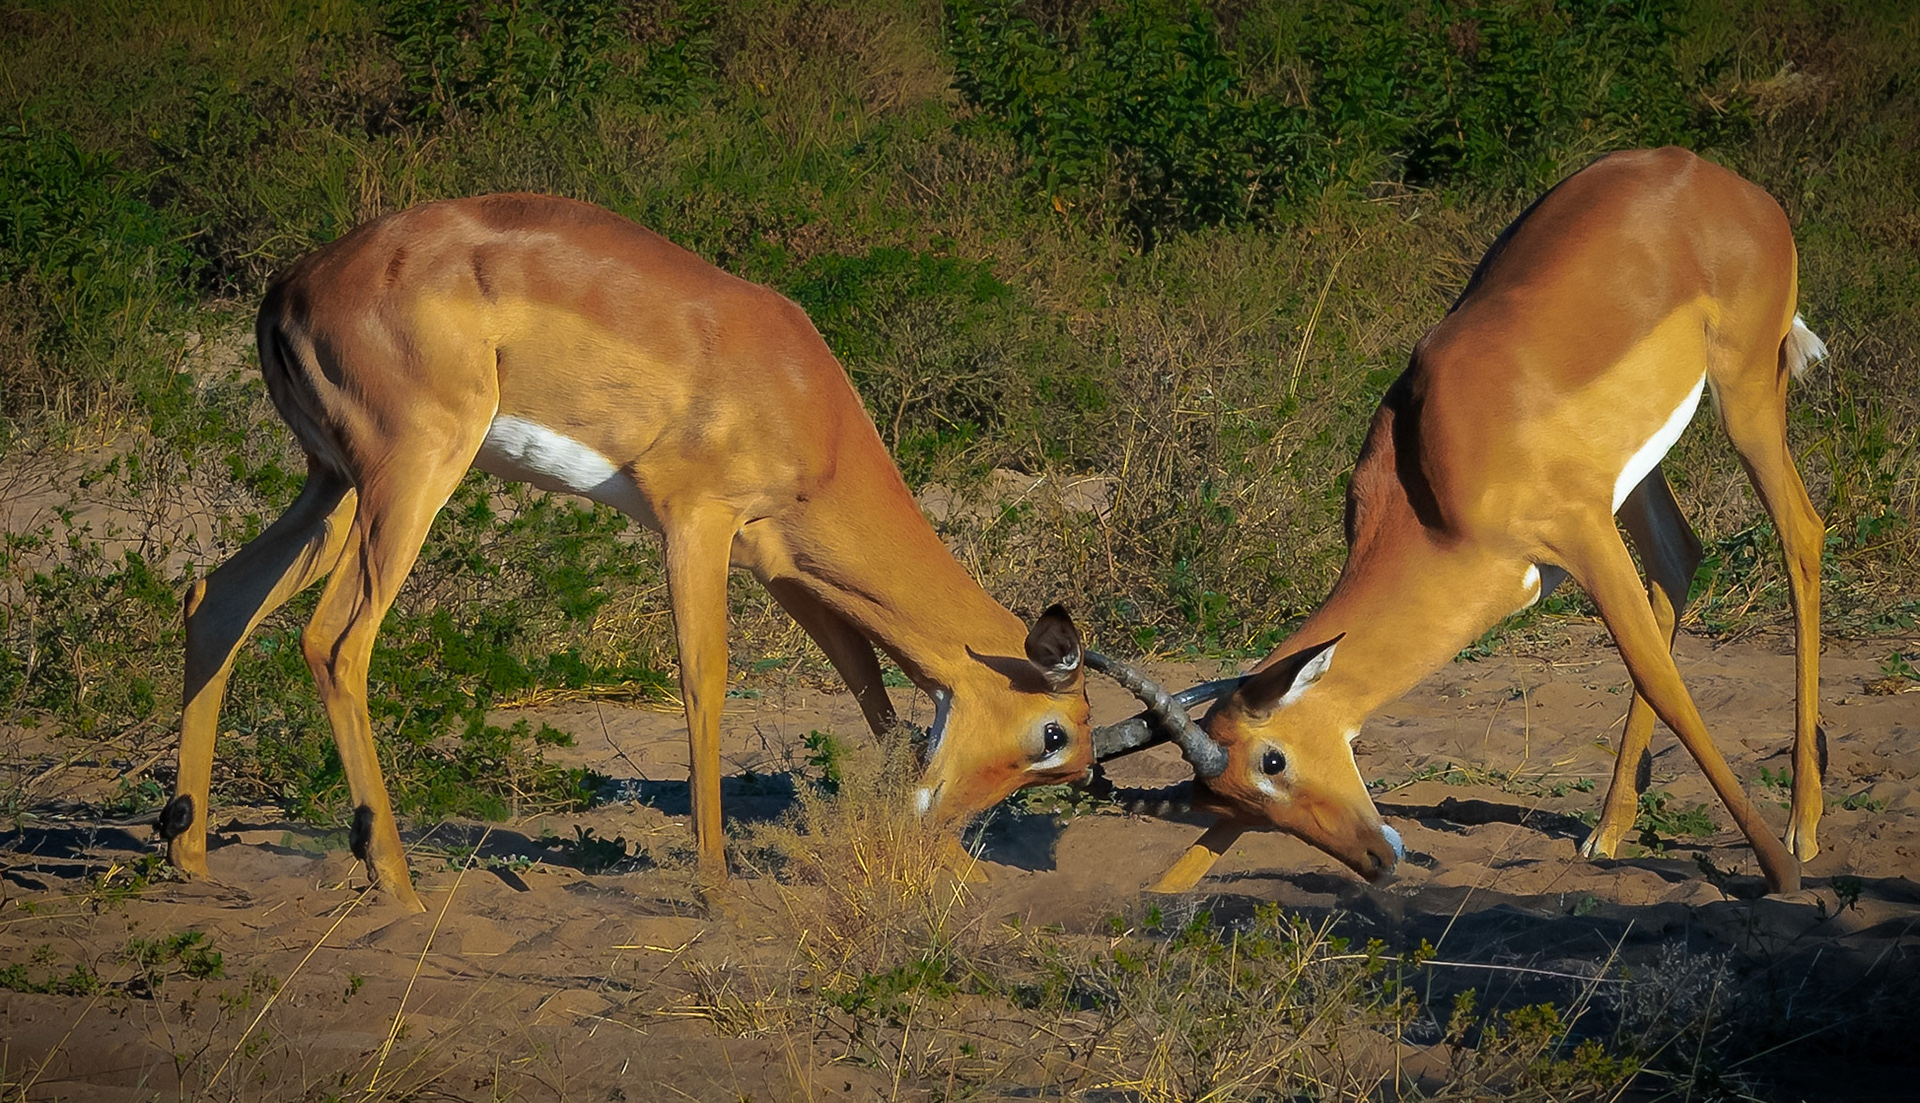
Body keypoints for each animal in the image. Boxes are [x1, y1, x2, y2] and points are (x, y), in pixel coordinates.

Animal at [159, 194, 1157, 911]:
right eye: (1051, 733)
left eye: (1071, 763)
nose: (936, 825)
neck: (806, 395)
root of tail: (289, 285)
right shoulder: (696, 523)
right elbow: (704, 680)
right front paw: (716, 886)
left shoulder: (781, 564)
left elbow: (873, 693)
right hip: (408, 479)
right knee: (334, 640)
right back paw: (396, 881)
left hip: (333, 486)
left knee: (217, 599)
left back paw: (193, 856)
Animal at [1091, 148, 1825, 896]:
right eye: (1236, 804)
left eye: (1275, 760)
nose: (1375, 859)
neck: (1432, 488)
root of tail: (1723, 181)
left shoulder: (1583, 535)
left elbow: (1661, 681)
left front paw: (1779, 872)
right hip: (1639, 468)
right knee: (1679, 556)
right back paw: (1608, 834)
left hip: (1745, 396)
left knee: (1801, 534)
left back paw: (1803, 831)